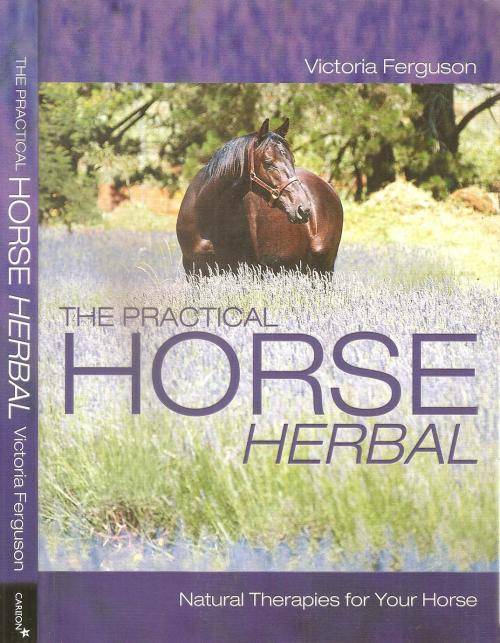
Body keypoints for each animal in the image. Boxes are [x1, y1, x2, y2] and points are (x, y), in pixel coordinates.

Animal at [176, 118, 343, 276]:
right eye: (268, 162)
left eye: (292, 160)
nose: (303, 208)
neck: (206, 217)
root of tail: (328, 186)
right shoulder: (193, 271)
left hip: (322, 269)